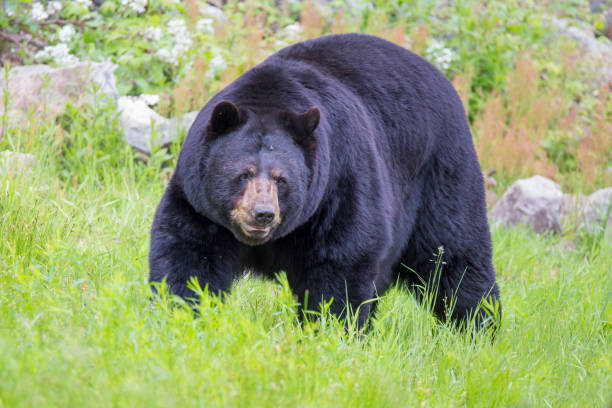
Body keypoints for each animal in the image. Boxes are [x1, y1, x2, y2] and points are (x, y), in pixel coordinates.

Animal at [149, 33, 502, 330]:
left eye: (282, 180)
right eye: (243, 173)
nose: (263, 214)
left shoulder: (338, 185)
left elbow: (343, 261)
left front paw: (328, 331)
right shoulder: (199, 202)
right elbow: (189, 254)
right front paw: (180, 313)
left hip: (442, 175)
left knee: (454, 256)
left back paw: (478, 328)